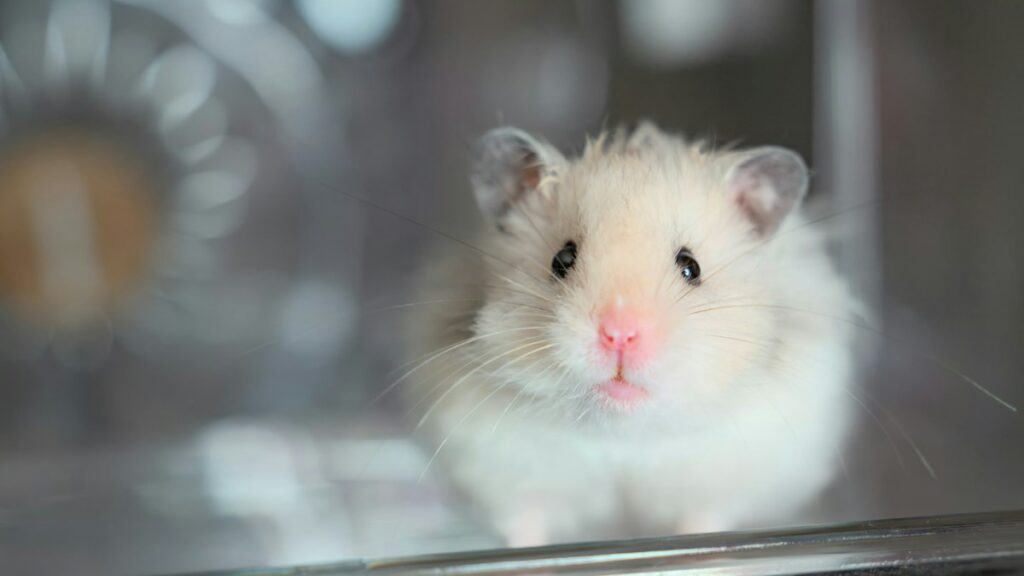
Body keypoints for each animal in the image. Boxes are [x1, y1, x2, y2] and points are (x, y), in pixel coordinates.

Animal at [403, 122, 858, 547]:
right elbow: (525, 527)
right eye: (562, 259)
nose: (619, 335)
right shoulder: (499, 470)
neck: (623, 434)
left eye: (691, 267)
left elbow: (703, 522)